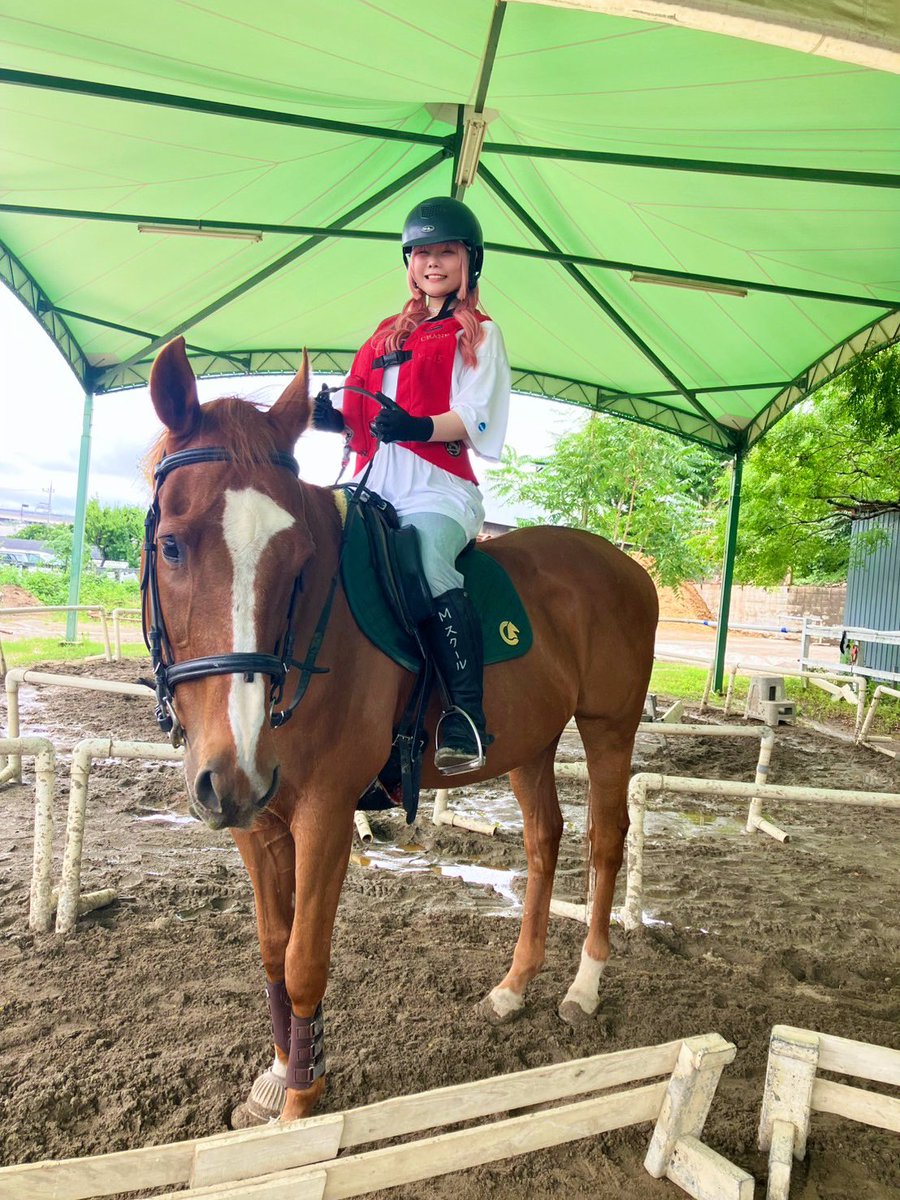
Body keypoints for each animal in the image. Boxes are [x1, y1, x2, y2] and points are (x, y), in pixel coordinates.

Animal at [145, 336, 658, 1125]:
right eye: (171, 546)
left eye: (299, 563)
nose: (233, 772)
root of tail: (629, 567)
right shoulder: (256, 819)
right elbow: (272, 949)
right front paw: (282, 1073)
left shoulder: (325, 812)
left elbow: (304, 960)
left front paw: (301, 1106)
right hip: (530, 744)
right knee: (544, 841)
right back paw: (515, 985)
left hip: (608, 728)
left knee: (605, 842)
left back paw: (584, 986)